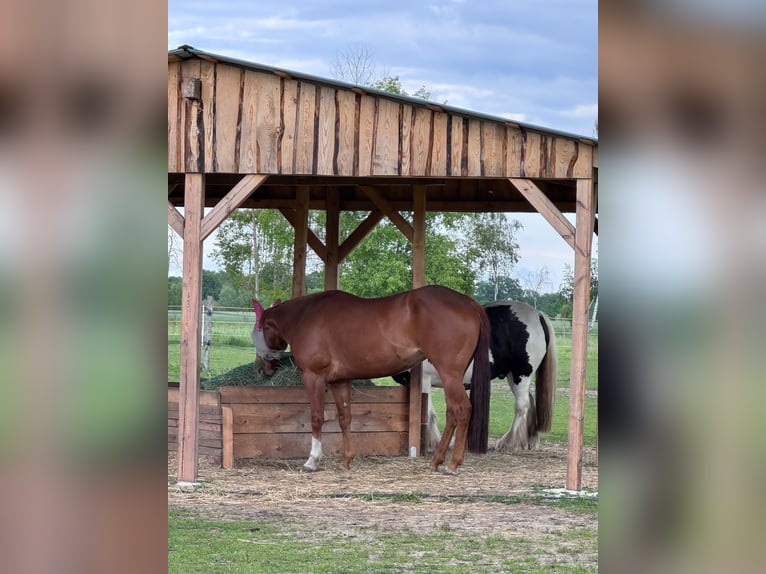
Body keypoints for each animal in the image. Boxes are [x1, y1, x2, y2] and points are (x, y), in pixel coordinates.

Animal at [251, 285, 491, 474]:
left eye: (258, 331)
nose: (263, 368)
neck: (305, 316)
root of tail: (467, 301)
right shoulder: (340, 381)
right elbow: (345, 418)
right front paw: (346, 460)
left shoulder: (314, 377)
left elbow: (317, 417)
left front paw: (312, 460)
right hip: (453, 377)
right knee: (452, 413)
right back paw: (437, 460)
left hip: (449, 374)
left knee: (462, 410)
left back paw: (453, 464)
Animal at [393, 300, 556, 453]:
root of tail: (538, 314)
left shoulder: (424, 380)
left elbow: (427, 412)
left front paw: (430, 444)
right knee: (529, 401)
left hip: (520, 375)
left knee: (522, 405)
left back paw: (509, 443)